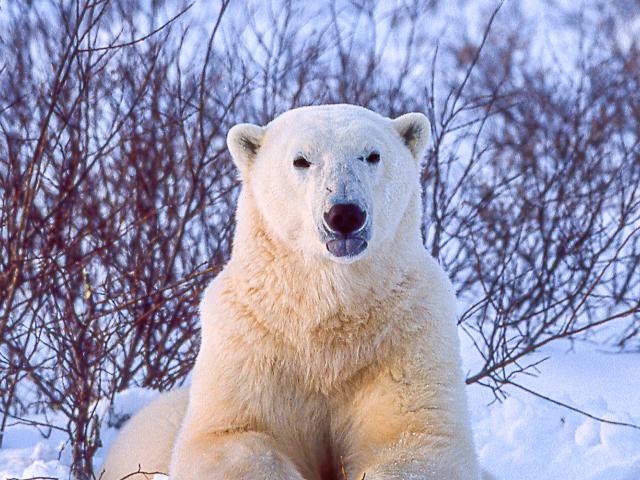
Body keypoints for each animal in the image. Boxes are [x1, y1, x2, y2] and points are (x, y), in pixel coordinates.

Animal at [101, 104, 482, 480]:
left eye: (372, 155)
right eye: (301, 160)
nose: (344, 214)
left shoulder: (404, 338)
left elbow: (418, 435)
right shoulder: (251, 343)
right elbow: (228, 436)